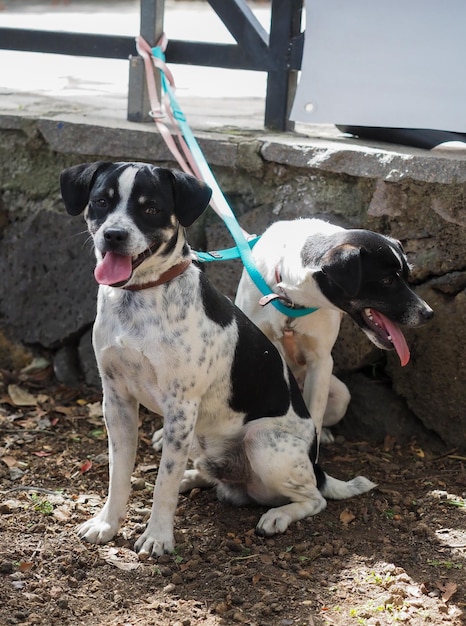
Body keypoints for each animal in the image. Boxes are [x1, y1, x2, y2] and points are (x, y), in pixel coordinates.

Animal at [61, 162, 374, 556]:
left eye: (151, 208)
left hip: (261, 440)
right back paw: (195, 476)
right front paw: (107, 523)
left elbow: (163, 483)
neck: (141, 297)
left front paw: (158, 536)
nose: (113, 235)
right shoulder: (116, 400)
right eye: (101, 201)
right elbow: (119, 474)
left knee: (314, 498)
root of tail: (315, 466)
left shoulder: (180, 407)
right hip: (203, 437)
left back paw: (278, 515)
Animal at [235, 217, 436, 442]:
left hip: (339, 397)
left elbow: (315, 417)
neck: (291, 299)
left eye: (407, 276)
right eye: (387, 280)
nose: (428, 313)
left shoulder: (321, 361)